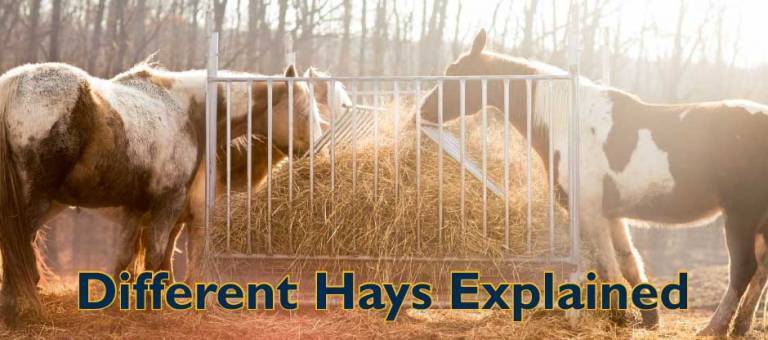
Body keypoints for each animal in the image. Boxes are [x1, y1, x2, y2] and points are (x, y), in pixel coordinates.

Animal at [0, 62, 320, 326]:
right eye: (305, 113)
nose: (317, 151)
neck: (187, 113)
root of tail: (14, 84)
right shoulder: (171, 205)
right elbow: (158, 256)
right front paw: (151, 308)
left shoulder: (136, 207)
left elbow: (124, 257)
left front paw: (116, 308)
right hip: (36, 202)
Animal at [420, 28, 768, 334]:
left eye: (455, 74)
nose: (423, 110)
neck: (569, 122)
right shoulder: (611, 215)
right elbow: (627, 263)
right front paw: (647, 318)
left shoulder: (589, 211)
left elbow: (603, 265)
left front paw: (615, 316)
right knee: (761, 269)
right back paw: (741, 325)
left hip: (741, 215)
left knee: (743, 269)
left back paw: (715, 327)